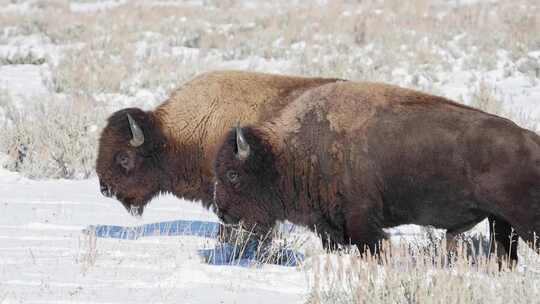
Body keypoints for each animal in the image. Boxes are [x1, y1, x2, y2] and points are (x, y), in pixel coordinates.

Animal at [212, 80, 540, 262]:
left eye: (232, 175)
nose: (222, 213)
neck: (289, 151)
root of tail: (530, 138)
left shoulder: (362, 223)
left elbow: (373, 247)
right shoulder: (331, 228)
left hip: (524, 221)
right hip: (501, 222)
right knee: (505, 255)